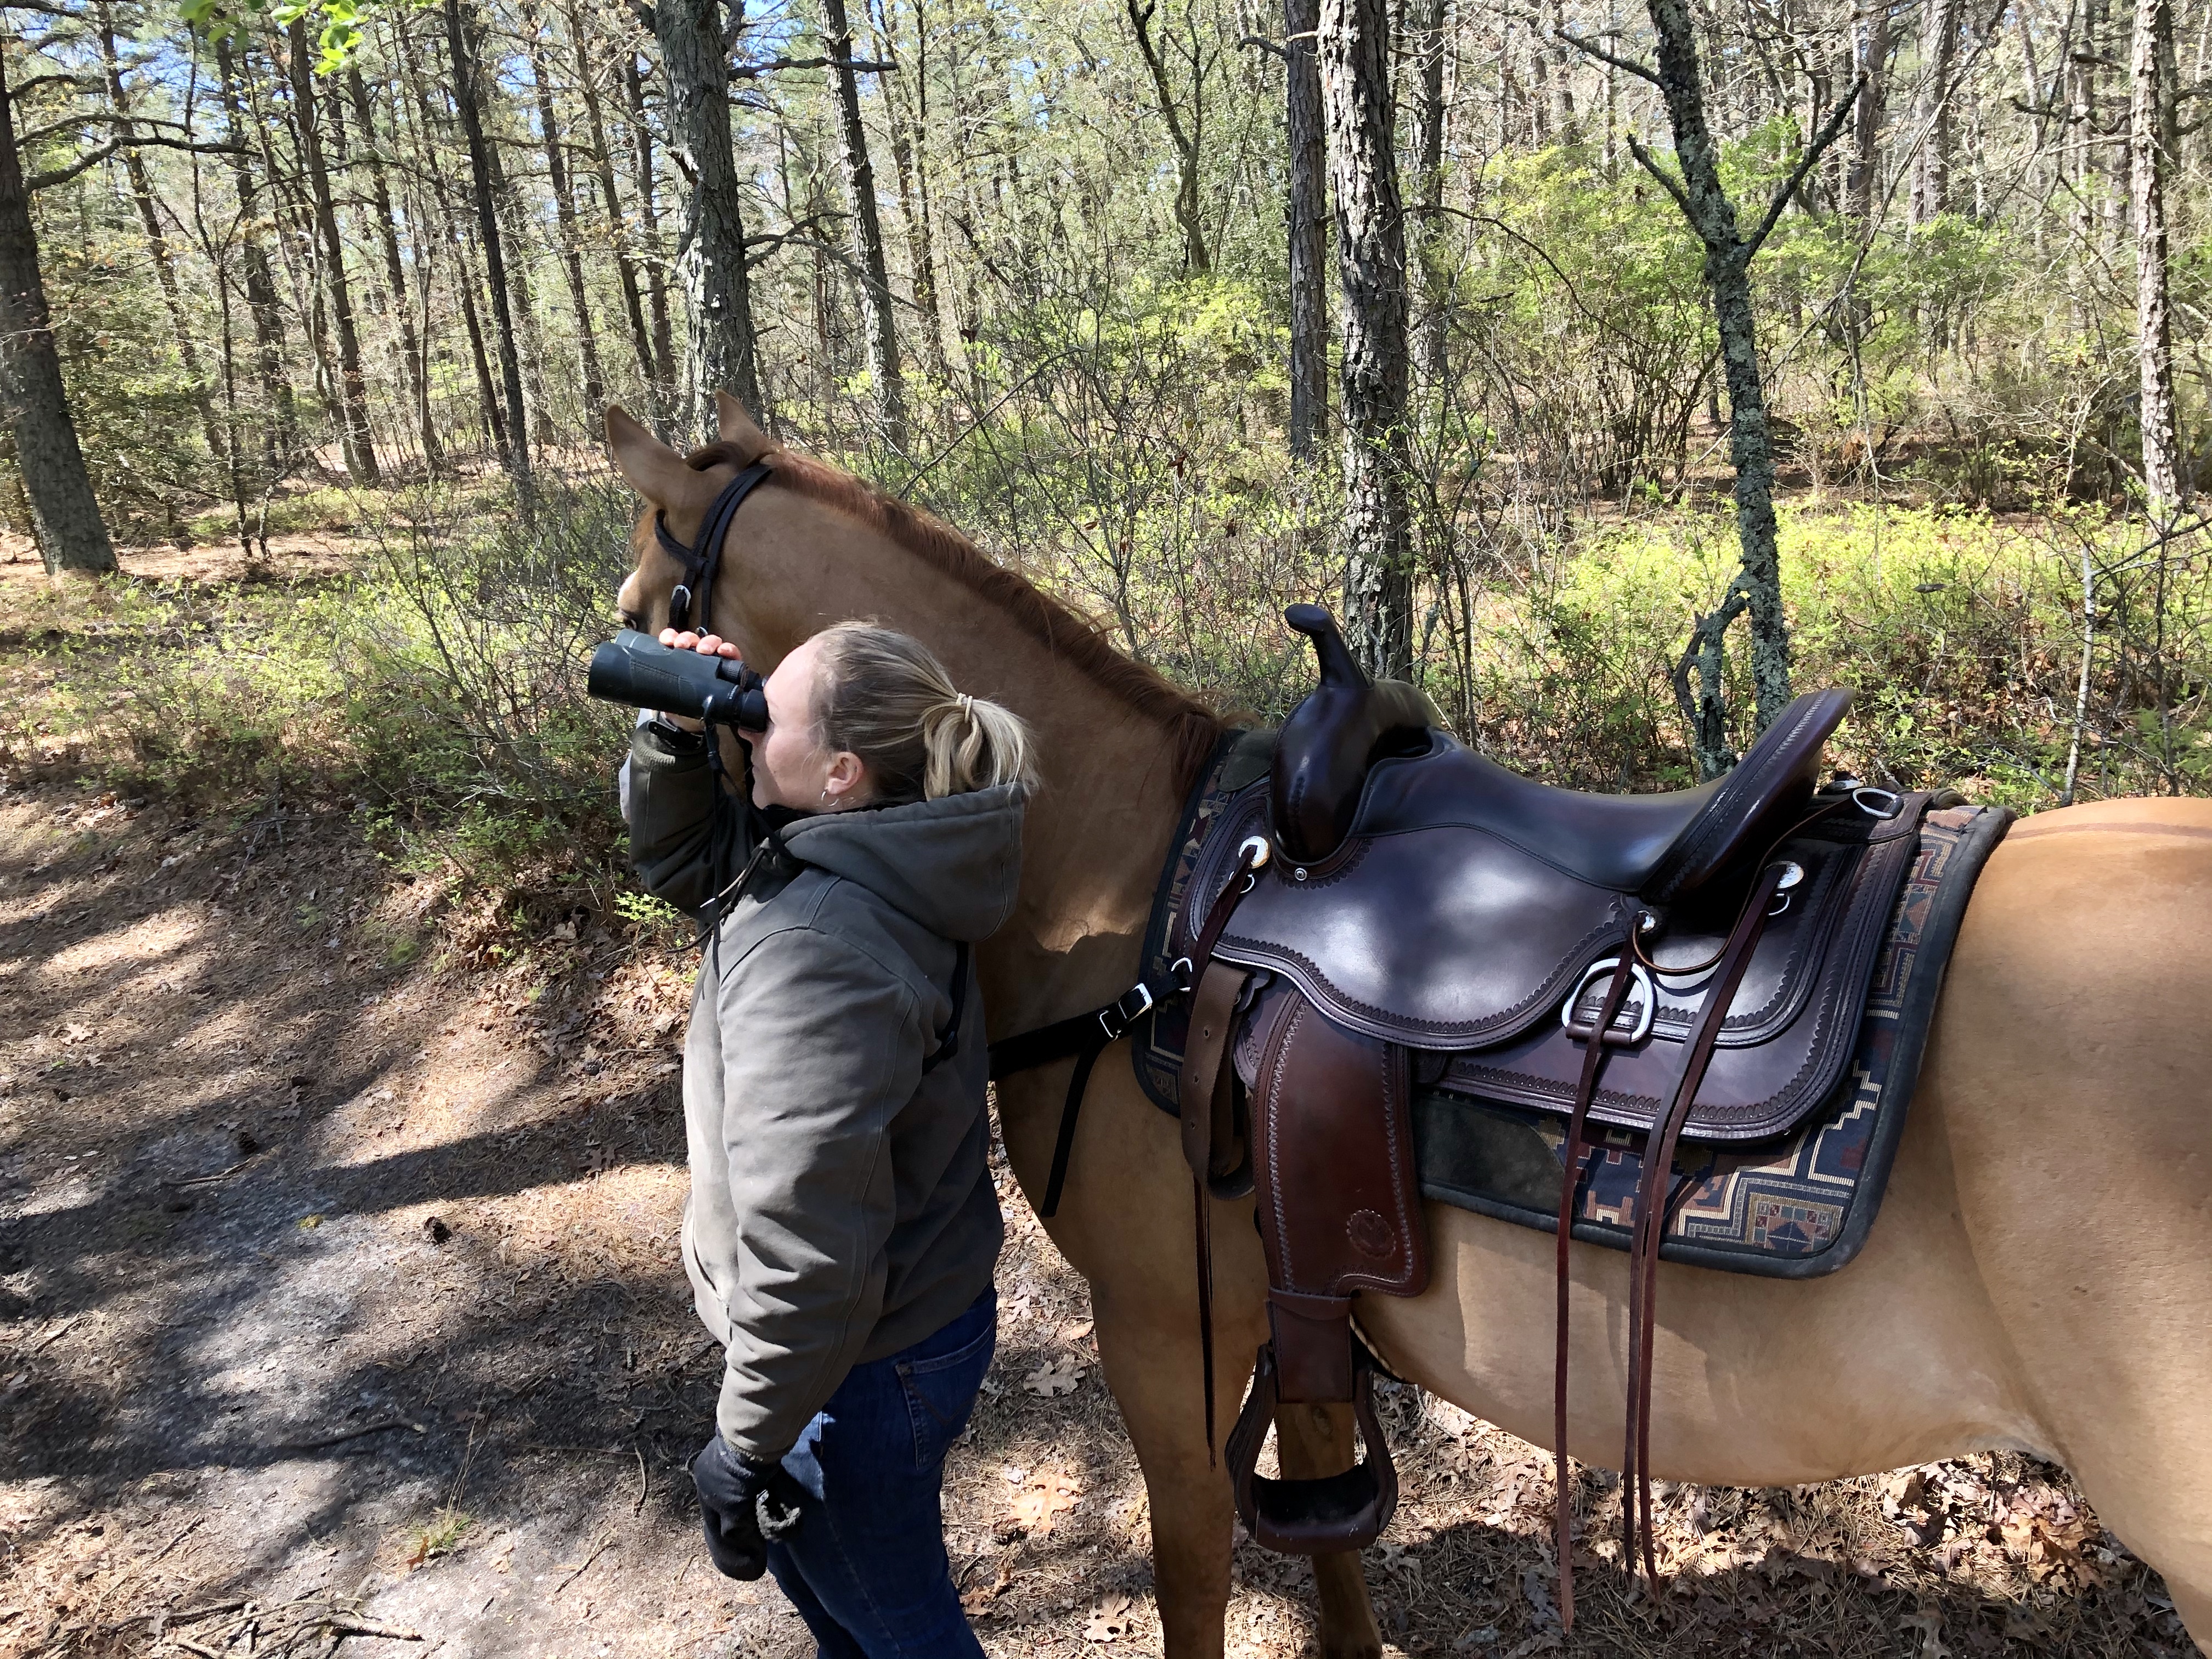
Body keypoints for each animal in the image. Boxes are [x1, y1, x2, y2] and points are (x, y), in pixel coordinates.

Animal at [606, 396, 2212, 1654]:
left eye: (639, 617)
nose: (657, 830)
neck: (1139, 893)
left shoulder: (1166, 1330)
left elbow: (1197, 1576)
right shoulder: (1301, 1297)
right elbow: (1331, 1548)